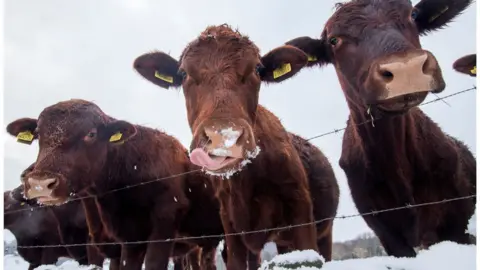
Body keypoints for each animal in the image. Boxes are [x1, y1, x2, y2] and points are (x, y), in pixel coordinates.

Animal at [133, 23, 340, 270]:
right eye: (183, 73)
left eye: (258, 69)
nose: (223, 137)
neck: (247, 182)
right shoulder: (230, 223)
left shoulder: (300, 209)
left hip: (325, 231)